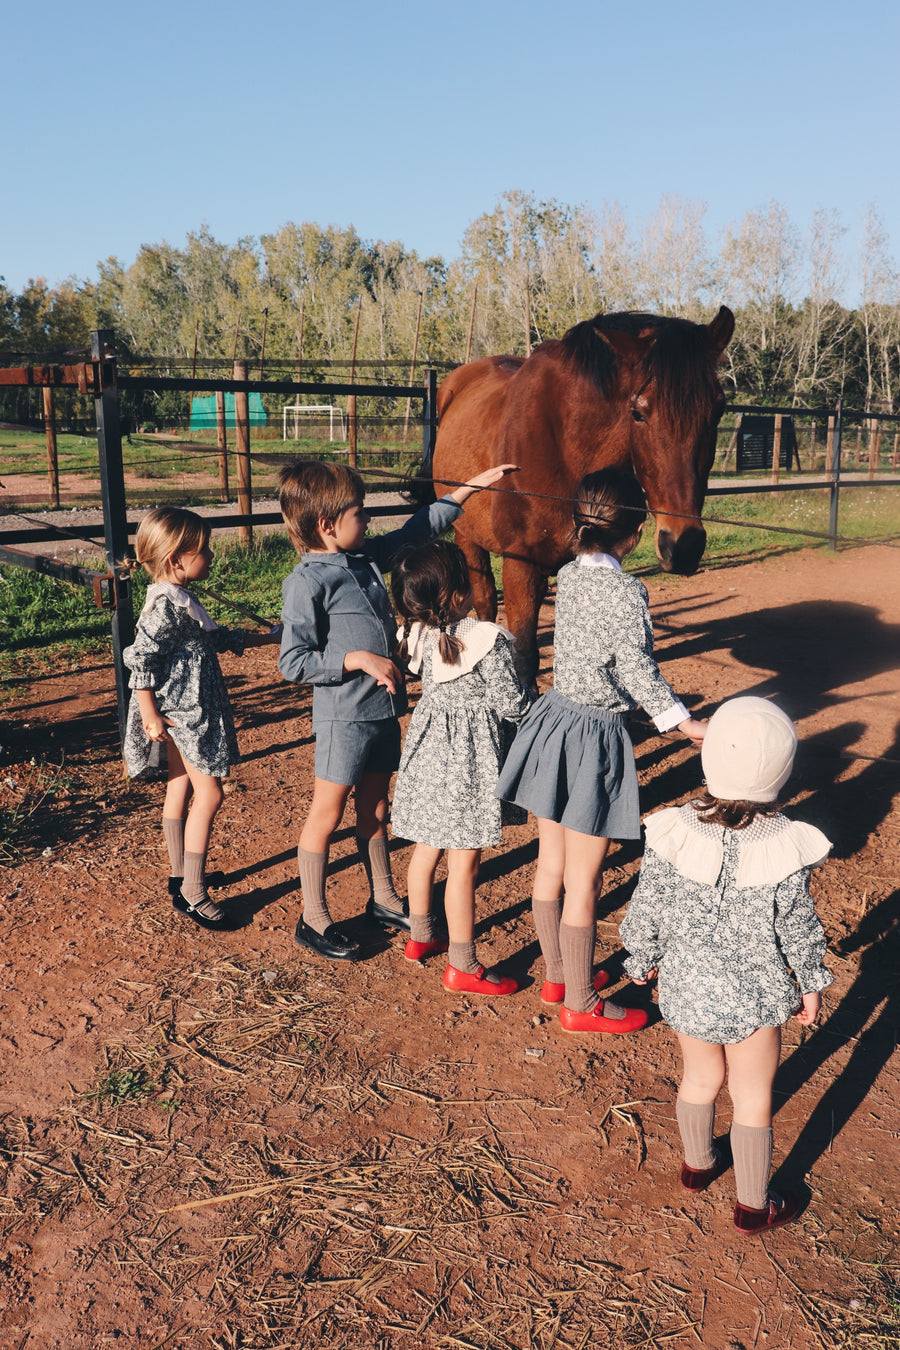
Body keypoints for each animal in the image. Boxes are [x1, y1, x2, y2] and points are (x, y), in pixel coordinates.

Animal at [429, 309, 734, 680]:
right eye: (638, 413)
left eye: (718, 411)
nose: (683, 545)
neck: (565, 449)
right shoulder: (520, 566)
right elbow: (525, 656)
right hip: (467, 537)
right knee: (486, 600)